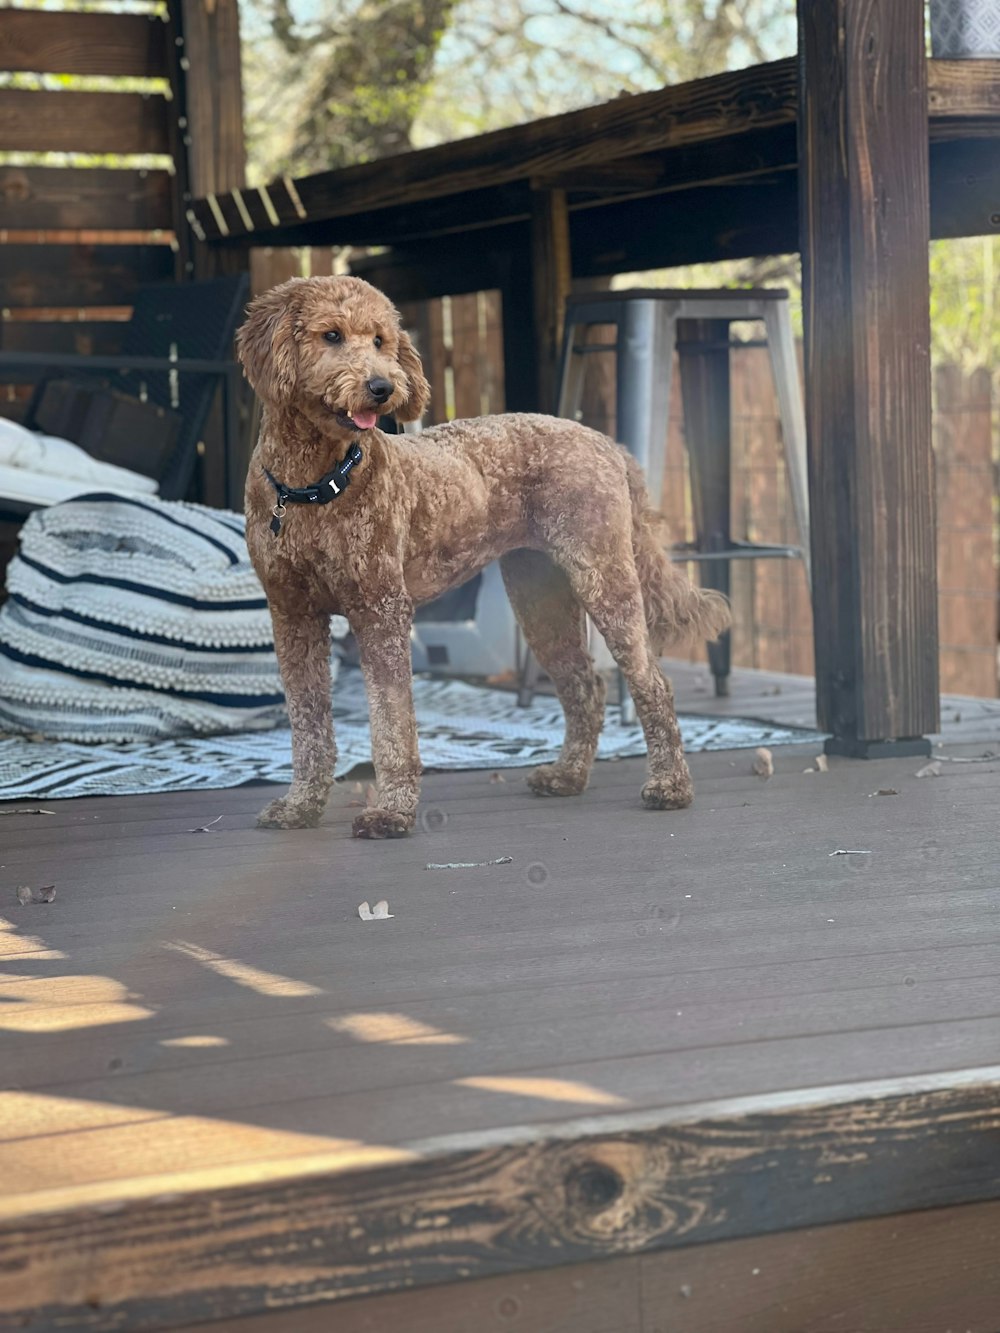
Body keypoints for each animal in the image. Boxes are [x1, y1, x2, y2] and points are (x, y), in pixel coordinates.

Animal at [238, 275, 730, 837]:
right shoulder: (293, 617)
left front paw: (391, 812)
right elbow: (308, 724)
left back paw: (670, 786)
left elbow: (392, 722)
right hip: (541, 598)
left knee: (652, 683)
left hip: (604, 577)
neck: (316, 487)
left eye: (381, 341)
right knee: (585, 686)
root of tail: (605, 442)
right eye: (332, 335)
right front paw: (299, 806)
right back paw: (566, 776)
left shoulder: (381, 612)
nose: (383, 387)